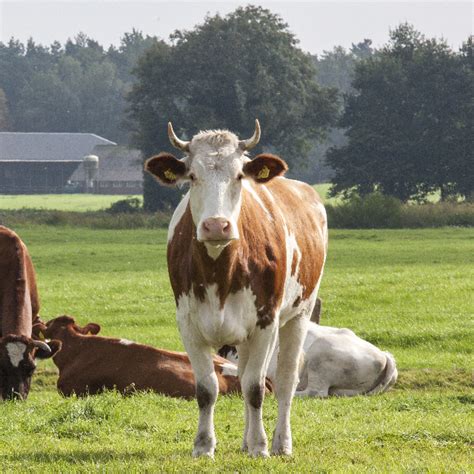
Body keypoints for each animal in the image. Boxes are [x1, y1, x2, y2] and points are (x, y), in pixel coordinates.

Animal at [146, 120, 328, 458]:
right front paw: (204, 445)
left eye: (239, 175)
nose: (216, 225)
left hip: (299, 314)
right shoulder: (188, 324)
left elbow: (256, 388)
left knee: (284, 381)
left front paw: (260, 446)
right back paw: (245, 441)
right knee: (243, 374)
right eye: (192, 176)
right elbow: (207, 388)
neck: (220, 271)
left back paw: (281, 442)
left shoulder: (265, 323)